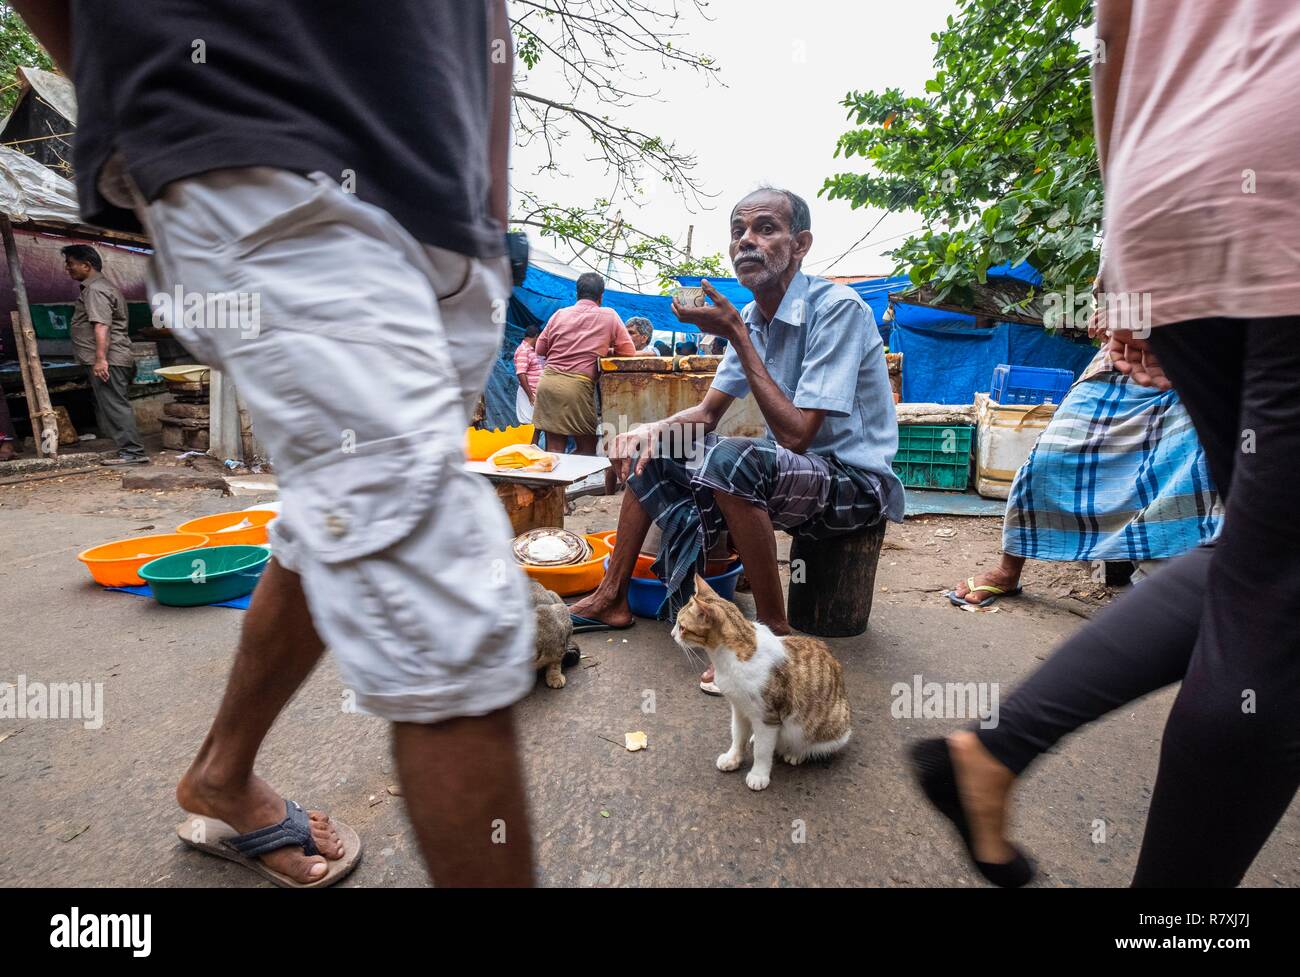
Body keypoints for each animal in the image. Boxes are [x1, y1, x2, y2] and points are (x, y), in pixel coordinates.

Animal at [676, 576, 847, 789]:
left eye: (682, 627)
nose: (673, 634)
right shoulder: (739, 708)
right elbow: (737, 735)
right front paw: (733, 758)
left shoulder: (767, 717)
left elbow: (762, 750)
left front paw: (759, 774)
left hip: (826, 727)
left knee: (811, 742)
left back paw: (796, 753)